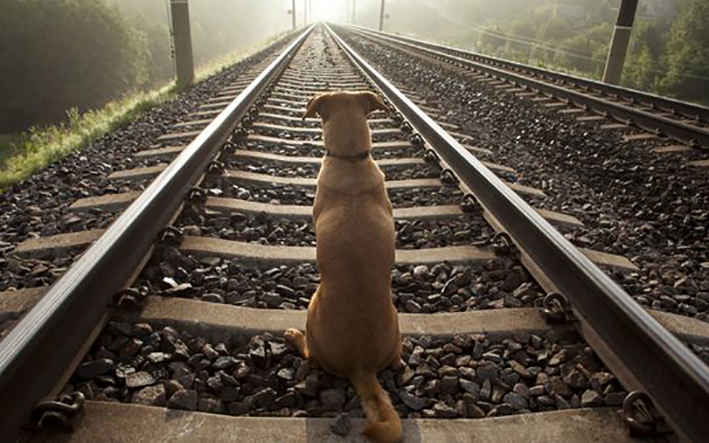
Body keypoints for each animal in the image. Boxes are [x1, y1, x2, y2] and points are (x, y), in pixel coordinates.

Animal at [284, 91, 404, 443]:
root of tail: (360, 367)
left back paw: (293, 335)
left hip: (312, 313)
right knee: (397, 361)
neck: (351, 160)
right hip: (397, 325)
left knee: (309, 355)